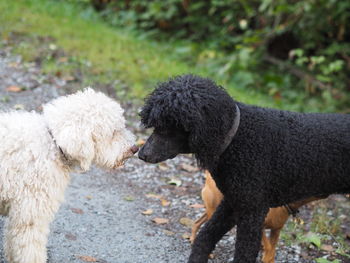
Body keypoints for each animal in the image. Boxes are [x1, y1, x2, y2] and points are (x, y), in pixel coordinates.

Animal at [190, 172, 324, 262]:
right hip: (214, 211)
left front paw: (269, 258)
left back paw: (192, 239)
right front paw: (266, 256)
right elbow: (269, 247)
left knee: (197, 222)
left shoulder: (276, 230)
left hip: (214, 211)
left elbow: (272, 247)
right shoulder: (259, 226)